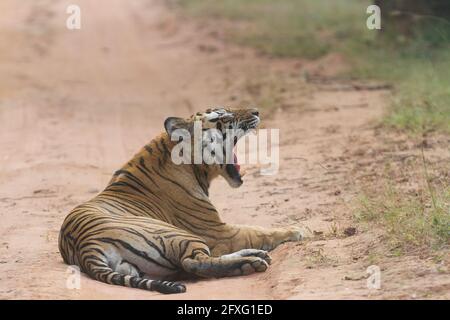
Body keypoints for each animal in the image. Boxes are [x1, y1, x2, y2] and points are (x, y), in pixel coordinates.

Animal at [58, 107, 304, 296]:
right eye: (223, 117)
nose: (256, 111)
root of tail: (85, 245)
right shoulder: (219, 231)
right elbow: (258, 231)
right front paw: (296, 230)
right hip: (177, 234)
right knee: (195, 262)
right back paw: (251, 262)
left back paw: (254, 256)